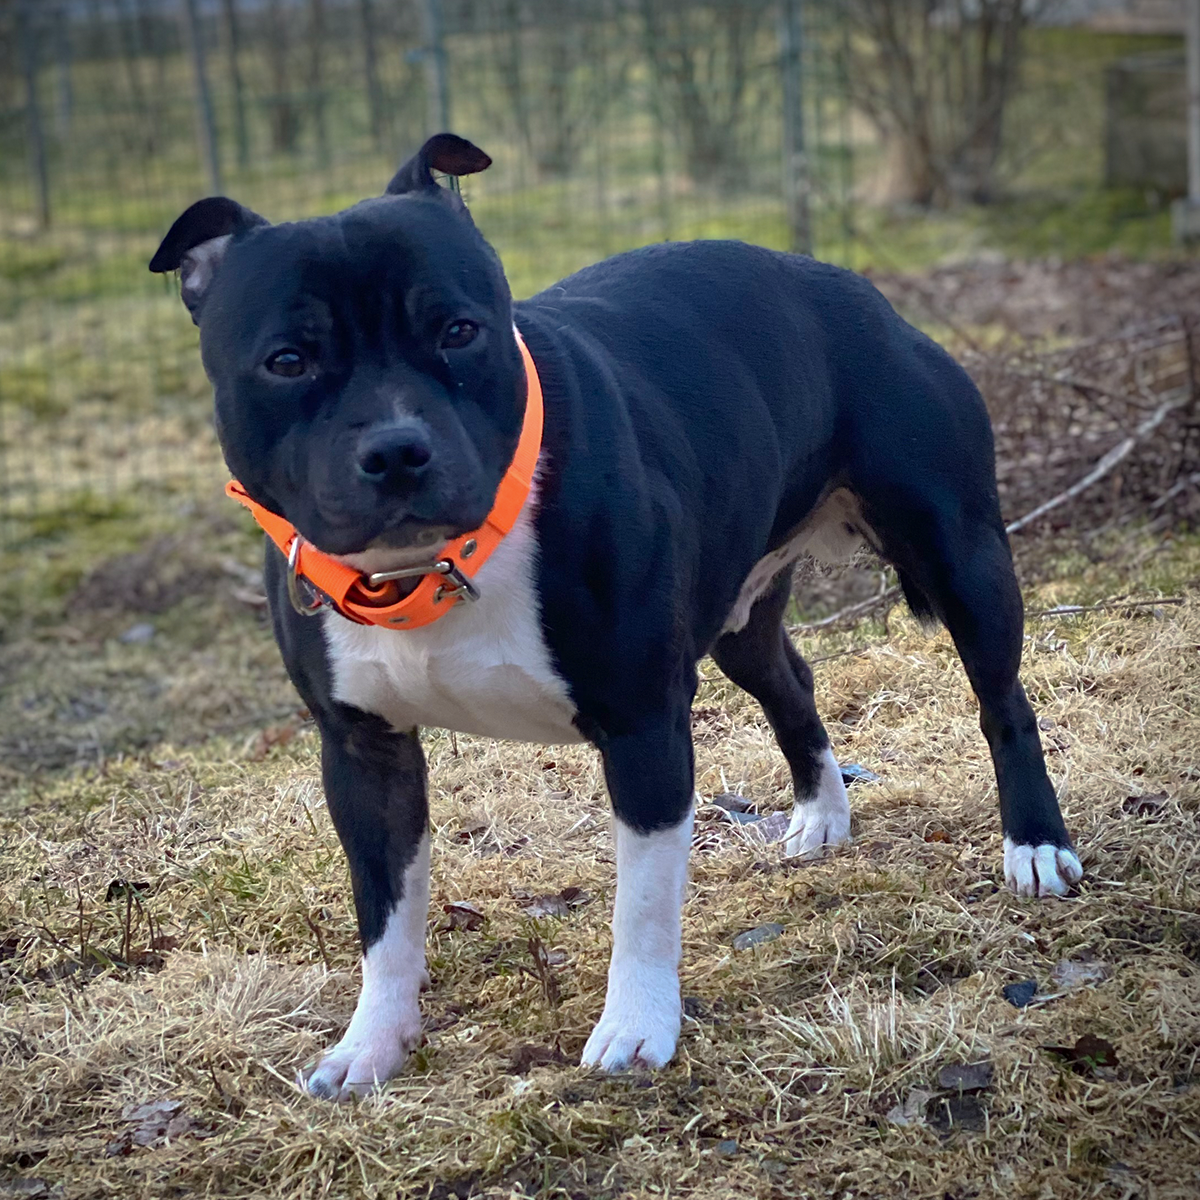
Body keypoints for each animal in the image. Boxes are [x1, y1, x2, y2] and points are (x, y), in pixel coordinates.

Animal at [150, 131, 1080, 1099]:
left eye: (458, 331)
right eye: (288, 361)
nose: (398, 449)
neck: (431, 569)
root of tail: (853, 286)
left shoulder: (643, 728)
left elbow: (642, 904)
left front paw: (635, 1030)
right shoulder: (364, 753)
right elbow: (386, 918)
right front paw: (371, 1046)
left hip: (962, 555)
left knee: (1003, 701)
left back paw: (1035, 846)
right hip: (740, 618)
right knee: (791, 683)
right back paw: (823, 814)